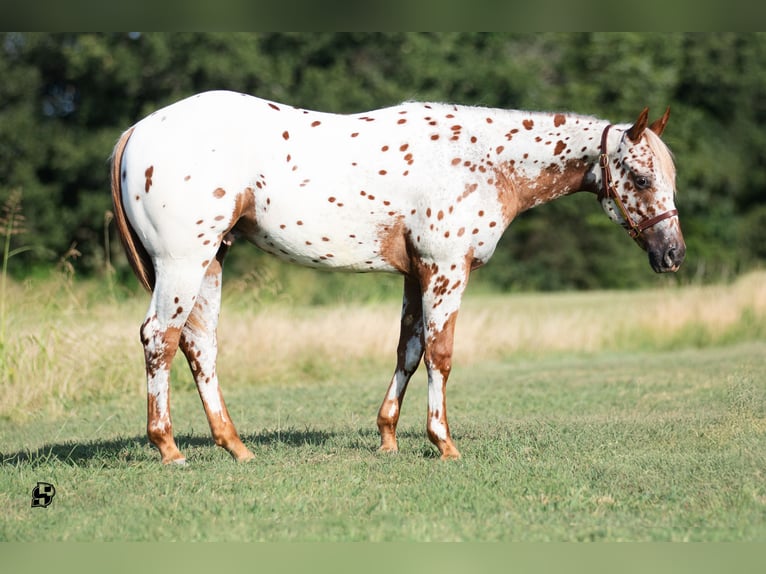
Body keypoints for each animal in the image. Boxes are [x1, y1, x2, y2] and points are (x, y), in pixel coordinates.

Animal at [106, 92, 684, 466]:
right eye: (640, 177)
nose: (672, 254)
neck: (480, 160)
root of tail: (138, 130)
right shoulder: (447, 269)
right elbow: (440, 355)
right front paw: (443, 442)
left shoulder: (417, 273)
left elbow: (408, 350)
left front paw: (387, 437)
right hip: (184, 261)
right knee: (160, 338)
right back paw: (168, 447)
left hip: (210, 263)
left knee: (199, 346)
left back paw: (235, 446)